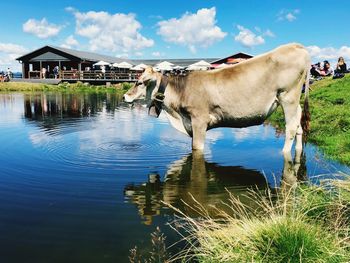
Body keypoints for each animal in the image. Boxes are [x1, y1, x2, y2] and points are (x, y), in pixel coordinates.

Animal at [124, 43, 310, 155]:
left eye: (139, 82)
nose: (125, 95)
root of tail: (296, 45)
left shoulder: (199, 120)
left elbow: (197, 148)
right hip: (295, 101)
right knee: (299, 125)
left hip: (288, 96)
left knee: (291, 127)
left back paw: (284, 153)